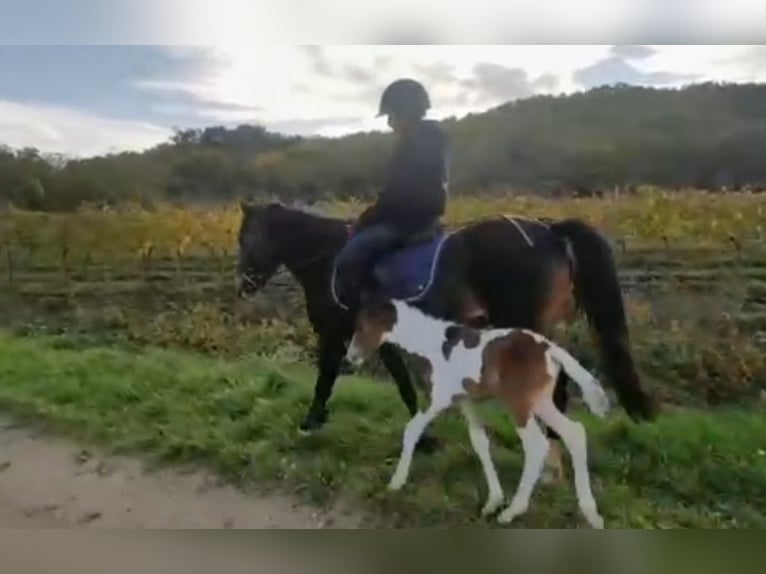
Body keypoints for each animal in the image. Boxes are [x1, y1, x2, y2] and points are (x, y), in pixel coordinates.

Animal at [235, 201, 657, 474]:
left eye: (244, 239)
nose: (243, 286)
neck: (329, 261)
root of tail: (549, 229)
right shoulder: (379, 341)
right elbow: (403, 385)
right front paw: (424, 438)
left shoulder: (334, 333)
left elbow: (325, 377)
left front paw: (310, 422)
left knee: (554, 388)